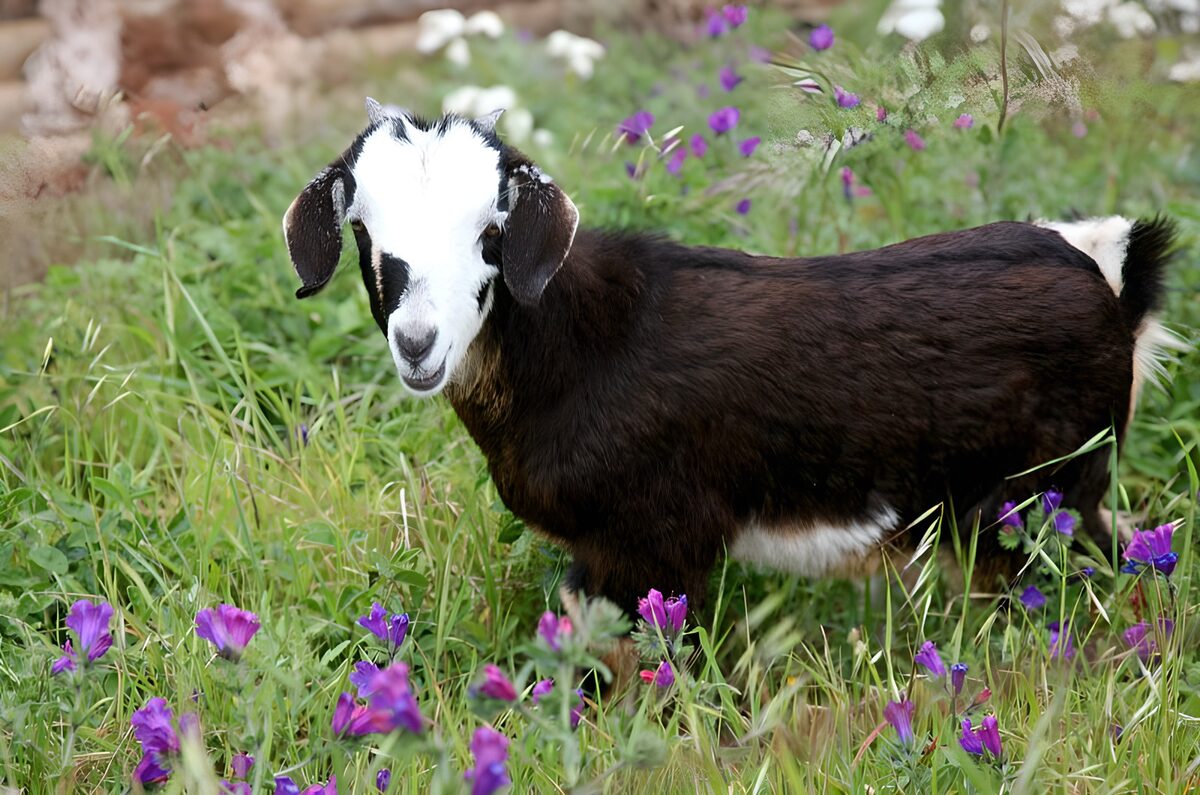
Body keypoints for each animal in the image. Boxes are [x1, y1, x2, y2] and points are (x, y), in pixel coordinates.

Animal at [283, 101, 1179, 615]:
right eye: (365, 233)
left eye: (490, 234)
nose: (418, 343)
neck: (588, 348)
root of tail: (1112, 278)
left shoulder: (657, 539)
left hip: (1052, 489)